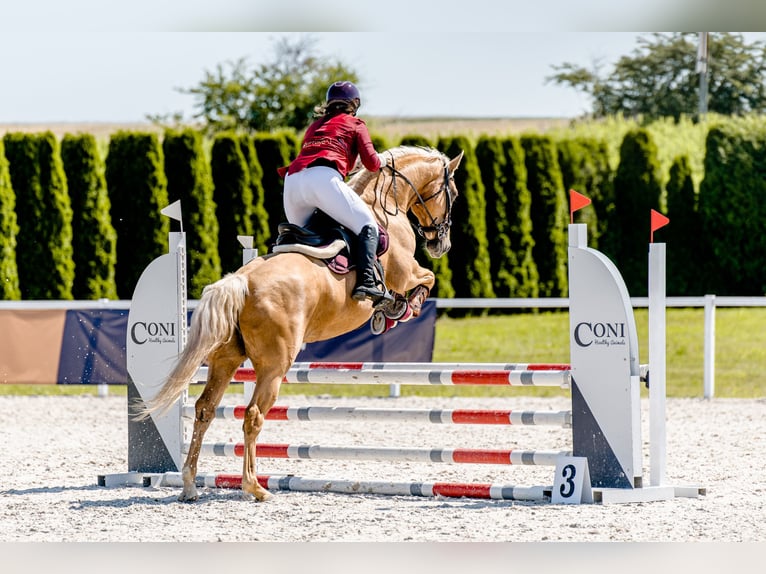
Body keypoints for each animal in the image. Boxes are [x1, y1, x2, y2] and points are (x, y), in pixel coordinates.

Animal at [141, 146, 464, 502]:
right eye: (453, 193)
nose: (441, 245)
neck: (385, 205)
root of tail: (241, 281)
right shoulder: (405, 273)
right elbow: (426, 279)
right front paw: (403, 308)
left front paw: (389, 310)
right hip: (274, 366)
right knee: (253, 415)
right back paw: (254, 486)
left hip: (226, 359)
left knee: (204, 409)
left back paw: (189, 484)